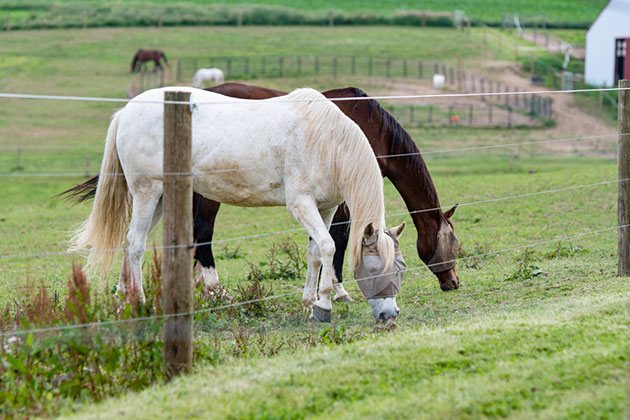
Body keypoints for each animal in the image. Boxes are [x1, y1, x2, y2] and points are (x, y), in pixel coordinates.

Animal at [61, 82, 462, 298]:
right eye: (453, 244)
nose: (453, 282)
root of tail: (126, 111)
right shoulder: (336, 204)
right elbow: (336, 242)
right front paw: (337, 291)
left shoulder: (328, 201)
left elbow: (318, 247)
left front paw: (318, 295)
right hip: (157, 193)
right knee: (153, 241)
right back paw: (171, 295)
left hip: (163, 196)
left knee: (140, 241)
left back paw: (127, 294)